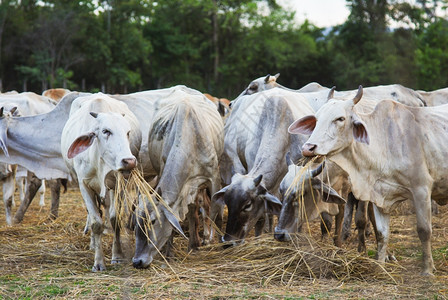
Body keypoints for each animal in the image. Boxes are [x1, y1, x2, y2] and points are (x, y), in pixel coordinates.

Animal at [61, 92, 141, 270]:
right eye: (106, 131)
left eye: (128, 132)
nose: (129, 161)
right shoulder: (84, 185)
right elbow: (96, 223)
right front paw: (98, 262)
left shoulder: (118, 184)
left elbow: (115, 219)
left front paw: (117, 256)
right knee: (94, 214)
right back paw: (92, 243)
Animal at [288, 85, 446, 276]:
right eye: (317, 120)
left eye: (340, 118)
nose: (308, 148)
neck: (384, 142)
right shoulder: (379, 197)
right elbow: (382, 233)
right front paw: (379, 266)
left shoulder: (421, 190)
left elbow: (424, 231)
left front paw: (427, 270)